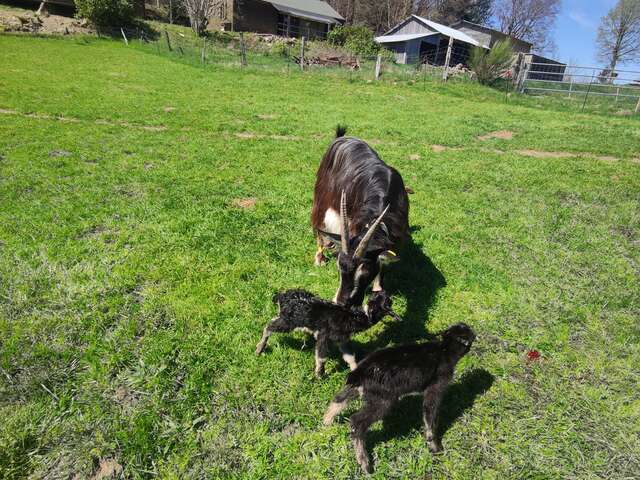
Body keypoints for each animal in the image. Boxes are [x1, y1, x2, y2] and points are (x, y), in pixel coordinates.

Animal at [255, 286, 400, 376]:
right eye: (388, 300)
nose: (387, 292)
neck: (354, 316)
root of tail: (283, 296)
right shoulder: (324, 335)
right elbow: (321, 356)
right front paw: (319, 374)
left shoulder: (342, 339)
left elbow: (349, 356)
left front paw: (354, 370)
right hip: (290, 321)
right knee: (269, 326)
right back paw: (259, 348)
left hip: (288, 318)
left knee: (273, 321)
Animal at [324, 322, 476, 472]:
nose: (475, 335)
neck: (444, 350)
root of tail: (359, 373)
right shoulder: (436, 385)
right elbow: (430, 416)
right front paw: (435, 448)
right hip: (383, 400)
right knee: (356, 422)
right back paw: (365, 464)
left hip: (362, 390)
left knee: (339, 398)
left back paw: (327, 422)